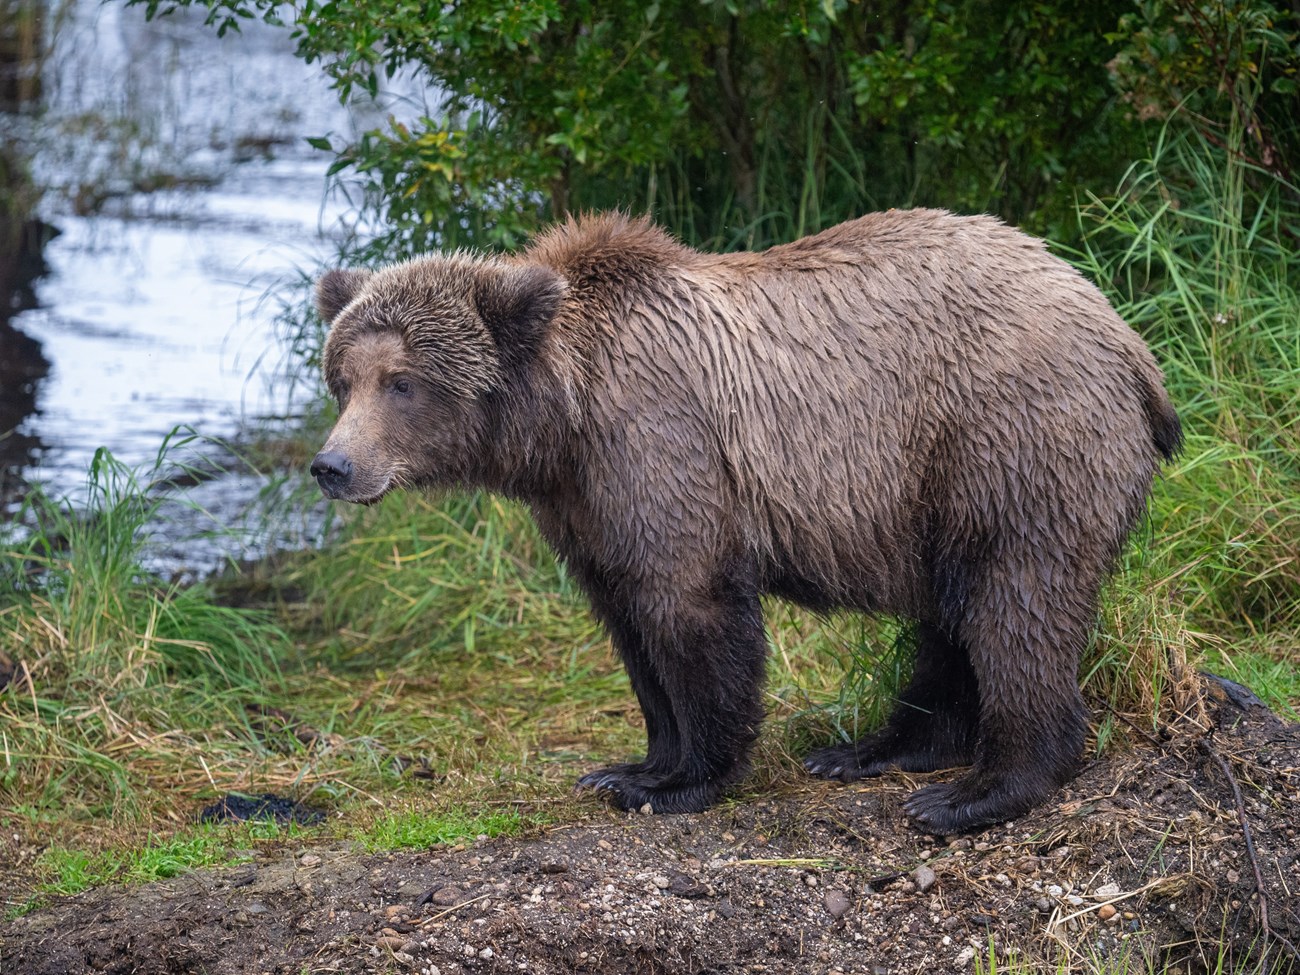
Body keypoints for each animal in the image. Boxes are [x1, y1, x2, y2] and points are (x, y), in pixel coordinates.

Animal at [312, 210, 1180, 837]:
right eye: (342, 377)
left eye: (402, 381)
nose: (333, 465)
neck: (563, 418)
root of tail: (1128, 338)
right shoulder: (585, 505)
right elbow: (629, 626)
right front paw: (632, 766)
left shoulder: (663, 445)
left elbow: (691, 610)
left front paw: (686, 778)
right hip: (942, 485)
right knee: (954, 615)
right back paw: (874, 749)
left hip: (1007, 437)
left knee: (1015, 600)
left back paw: (974, 792)